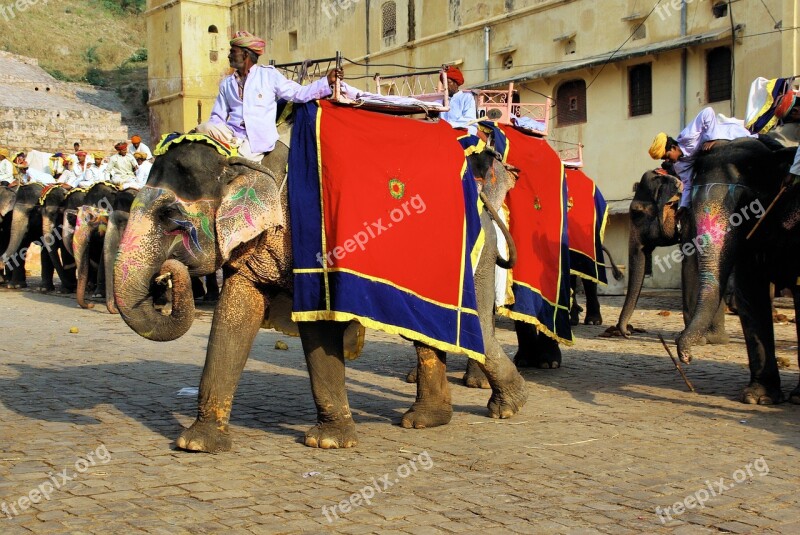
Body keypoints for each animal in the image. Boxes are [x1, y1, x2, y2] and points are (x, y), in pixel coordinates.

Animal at [112, 124, 524, 448]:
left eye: (170, 216)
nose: (167, 273)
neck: (251, 161)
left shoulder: (315, 239)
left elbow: (317, 324)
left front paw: (328, 442)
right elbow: (236, 312)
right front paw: (197, 443)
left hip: (475, 260)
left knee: (476, 331)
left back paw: (508, 408)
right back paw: (424, 420)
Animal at [612, 168, 732, 344]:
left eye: (637, 213)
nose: (628, 332)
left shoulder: (692, 220)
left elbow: (690, 266)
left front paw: (691, 338)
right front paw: (714, 339)